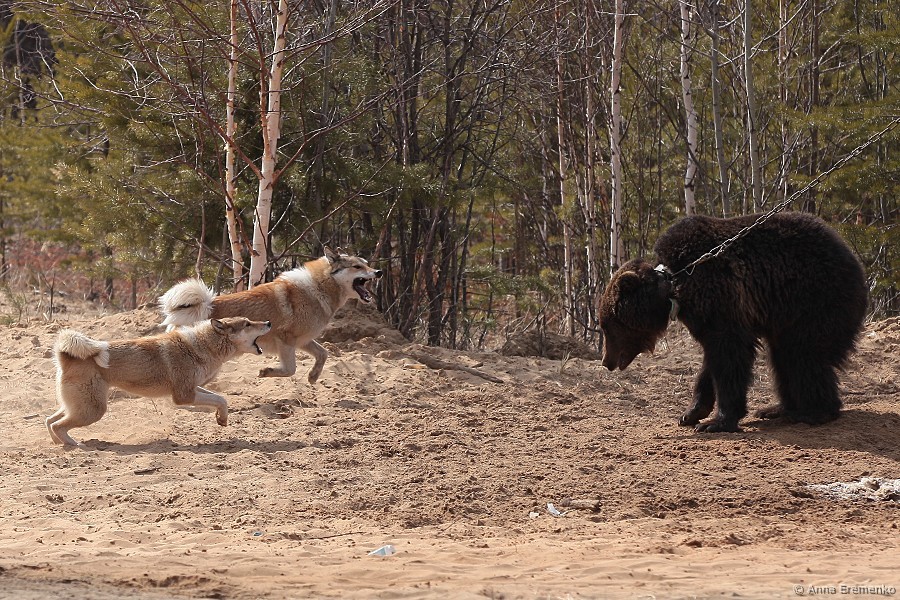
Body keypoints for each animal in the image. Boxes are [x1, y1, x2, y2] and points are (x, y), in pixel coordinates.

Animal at [47, 317, 272, 446]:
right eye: (247, 324)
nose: (269, 323)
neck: (202, 346)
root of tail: (65, 356)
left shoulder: (192, 388)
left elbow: (221, 399)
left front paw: (221, 419)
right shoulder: (184, 396)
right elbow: (219, 399)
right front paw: (221, 418)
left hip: (78, 406)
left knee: (49, 421)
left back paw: (58, 444)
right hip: (92, 411)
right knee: (58, 425)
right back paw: (75, 446)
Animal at [159, 247, 382, 384]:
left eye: (367, 263)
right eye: (357, 267)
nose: (379, 272)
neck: (319, 288)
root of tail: (203, 306)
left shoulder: (302, 341)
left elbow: (323, 354)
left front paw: (313, 376)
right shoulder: (286, 340)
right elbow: (290, 369)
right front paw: (267, 371)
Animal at [598, 211, 867, 433]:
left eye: (607, 325)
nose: (606, 362)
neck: (675, 286)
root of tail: (852, 258)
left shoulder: (721, 299)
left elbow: (730, 357)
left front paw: (717, 422)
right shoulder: (708, 318)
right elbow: (712, 360)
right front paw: (691, 413)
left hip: (814, 301)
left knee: (802, 355)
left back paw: (813, 412)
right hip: (788, 316)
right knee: (783, 357)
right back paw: (776, 409)